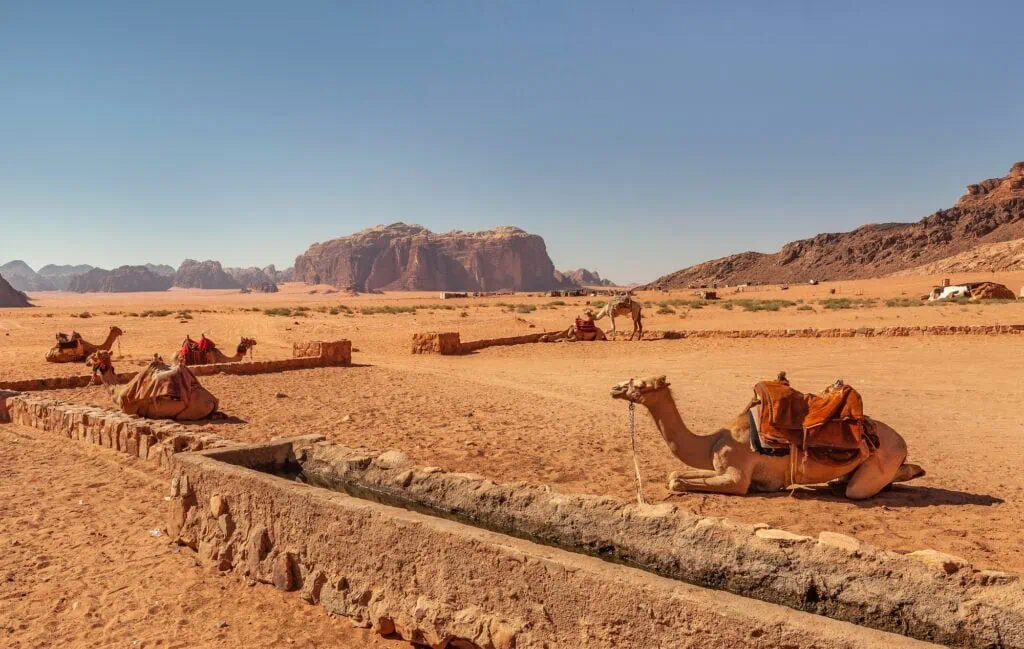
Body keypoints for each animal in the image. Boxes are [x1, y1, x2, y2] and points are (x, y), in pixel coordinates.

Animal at [87, 351, 219, 421]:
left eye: (94, 356)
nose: (87, 360)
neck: (117, 392)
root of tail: (213, 399)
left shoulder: (129, 411)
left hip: (189, 411)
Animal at [610, 375, 925, 500]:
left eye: (640, 384)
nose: (615, 388)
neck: (712, 441)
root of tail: (902, 442)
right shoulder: (721, 468)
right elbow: (675, 474)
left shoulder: (737, 476)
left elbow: (677, 480)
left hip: (881, 460)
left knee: (859, 488)